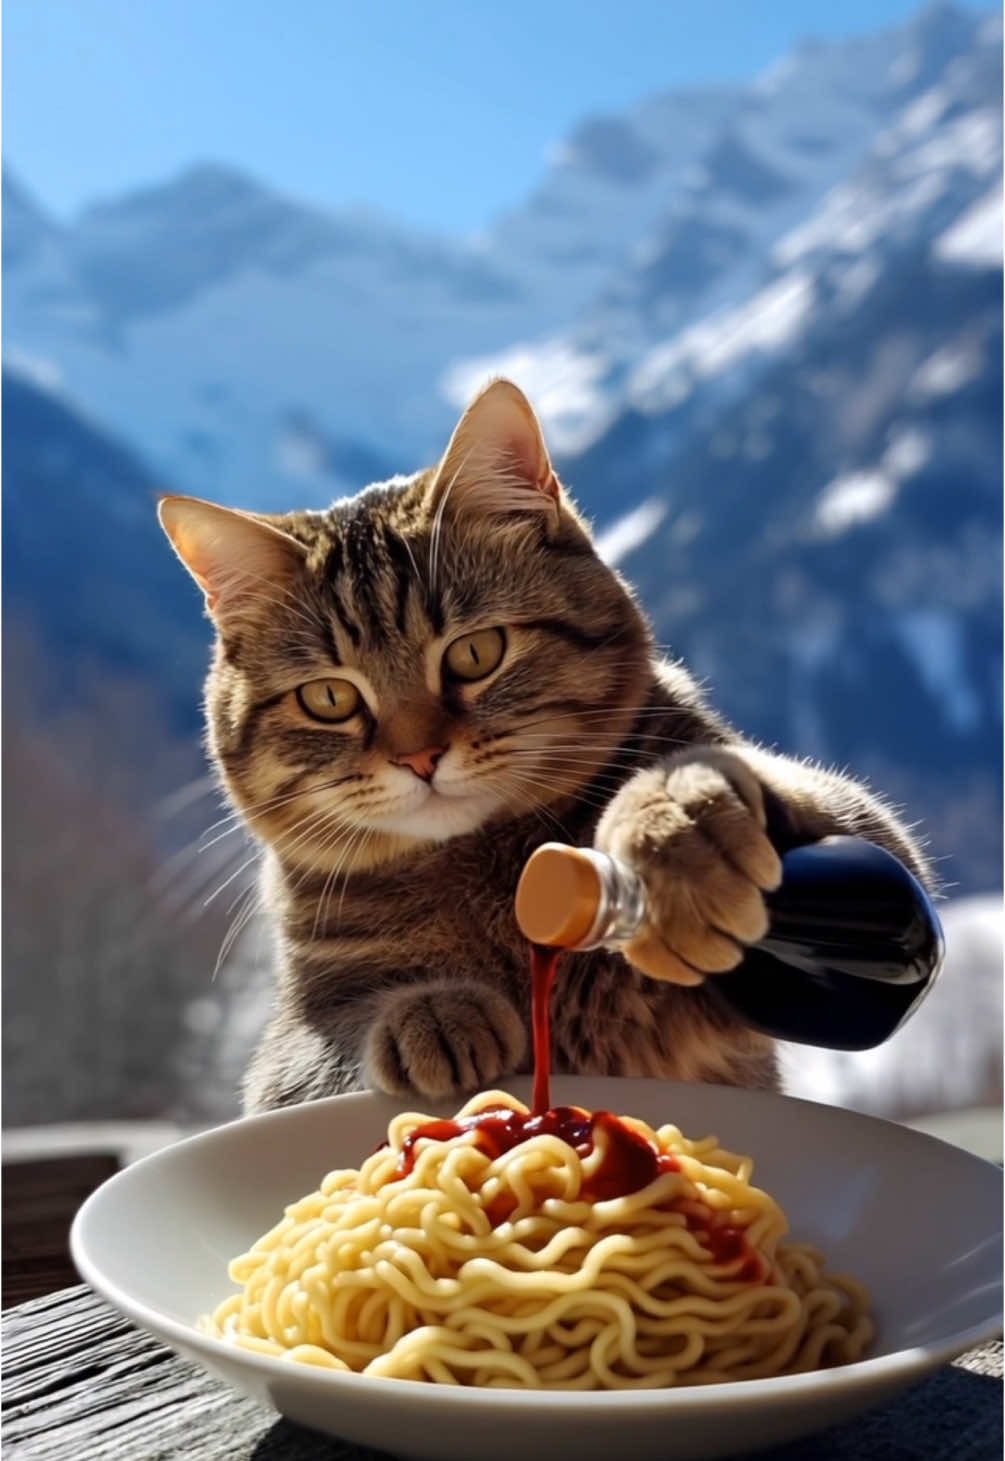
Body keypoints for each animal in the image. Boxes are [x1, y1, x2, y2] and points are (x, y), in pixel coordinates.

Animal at [159, 382, 934, 1110]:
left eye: (475, 653)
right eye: (329, 699)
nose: (418, 757)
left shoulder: (874, 848)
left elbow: (799, 797)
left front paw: (675, 834)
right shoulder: (289, 1050)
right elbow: (339, 1036)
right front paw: (432, 1009)